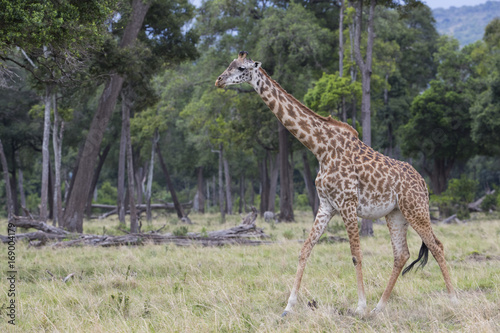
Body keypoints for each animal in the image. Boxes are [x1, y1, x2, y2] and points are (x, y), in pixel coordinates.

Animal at [215, 51, 458, 314]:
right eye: (229, 64)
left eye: (241, 68)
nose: (219, 80)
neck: (320, 148)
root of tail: (423, 183)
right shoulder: (326, 205)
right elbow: (304, 250)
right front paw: (288, 307)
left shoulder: (347, 203)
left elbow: (355, 254)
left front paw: (360, 306)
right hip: (396, 214)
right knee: (401, 254)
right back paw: (379, 307)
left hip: (416, 209)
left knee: (437, 246)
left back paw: (453, 299)